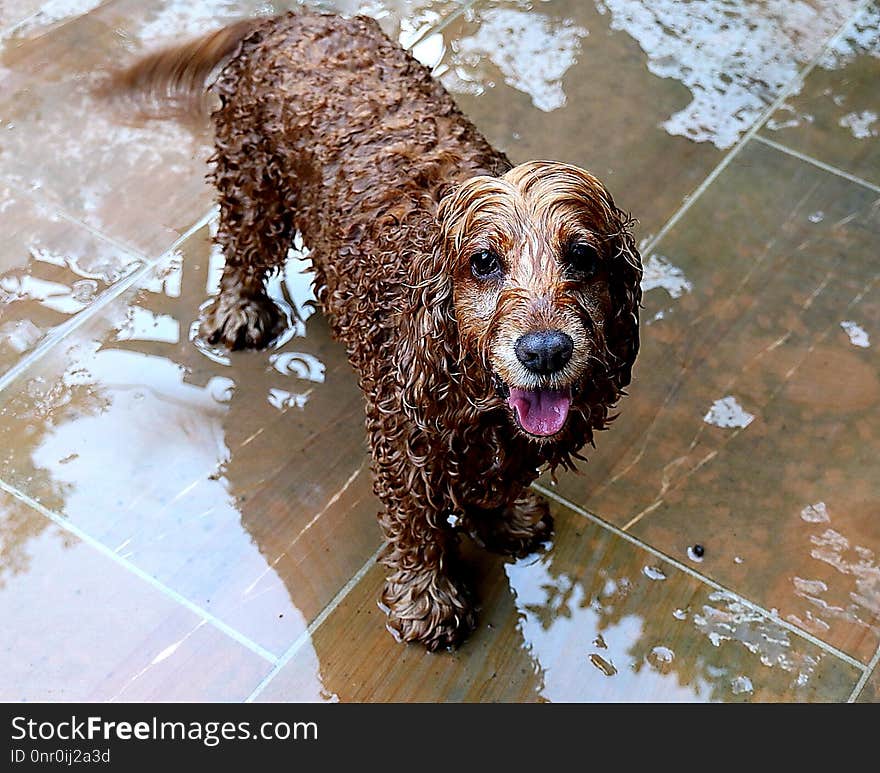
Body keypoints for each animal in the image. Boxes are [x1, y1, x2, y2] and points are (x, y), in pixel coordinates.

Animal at [113, 10, 644, 652]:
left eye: (583, 257)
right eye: (484, 263)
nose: (545, 351)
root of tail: (291, 15)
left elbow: (496, 480)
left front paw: (504, 520)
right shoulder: (404, 434)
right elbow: (415, 523)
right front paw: (427, 600)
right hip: (250, 174)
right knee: (243, 247)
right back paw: (239, 310)